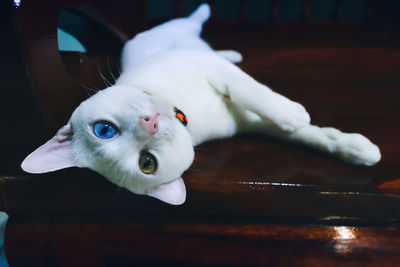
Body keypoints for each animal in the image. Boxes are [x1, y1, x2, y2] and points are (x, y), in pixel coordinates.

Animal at [21, 3, 382, 205]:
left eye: (103, 130)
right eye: (146, 162)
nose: (150, 124)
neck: (186, 112)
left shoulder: (210, 70)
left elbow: (254, 92)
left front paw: (293, 113)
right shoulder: (248, 120)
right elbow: (304, 133)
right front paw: (351, 147)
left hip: (178, 38)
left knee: (193, 24)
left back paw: (214, 27)